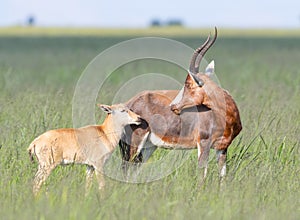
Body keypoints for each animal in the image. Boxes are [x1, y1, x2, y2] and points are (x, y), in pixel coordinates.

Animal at [119, 27, 241, 181]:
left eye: (188, 84)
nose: (173, 106)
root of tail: (129, 103)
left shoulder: (222, 148)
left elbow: (222, 176)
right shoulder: (204, 144)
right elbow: (202, 176)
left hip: (148, 147)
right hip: (134, 143)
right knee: (126, 168)